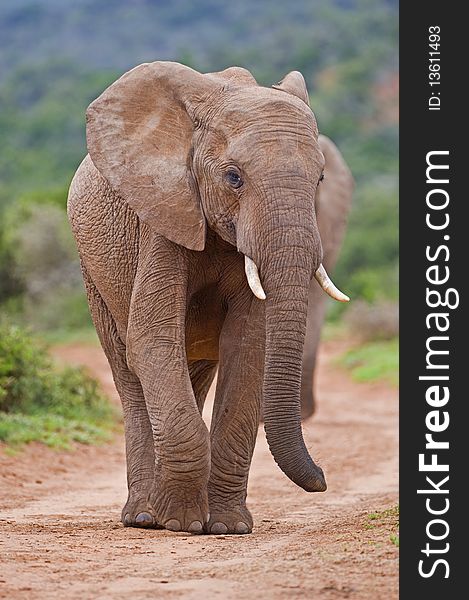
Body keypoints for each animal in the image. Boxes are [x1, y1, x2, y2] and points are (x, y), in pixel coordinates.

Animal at [67, 62, 350, 536]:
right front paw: (180, 523)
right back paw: (145, 517)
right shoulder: (163, 216)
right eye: (233, 177)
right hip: (94, 272)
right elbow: (151, 340)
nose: (324, 479)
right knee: (128, 369)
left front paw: (228, 527)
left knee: (194, 369)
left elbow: (248, 346)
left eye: (320, 178)